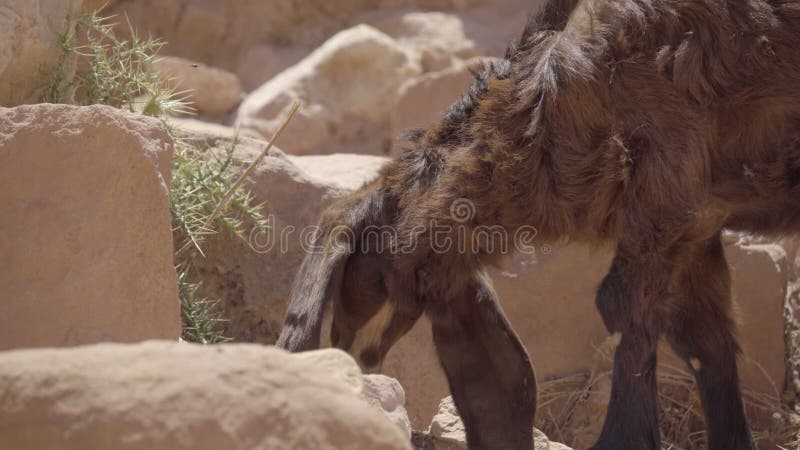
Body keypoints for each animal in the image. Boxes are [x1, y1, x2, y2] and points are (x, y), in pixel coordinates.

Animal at [278, 0, 800, 450]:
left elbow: (623, 306)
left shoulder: (667, 181)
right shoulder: (697, 218)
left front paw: (622, 440)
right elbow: (706, 338)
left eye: (353, 282)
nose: (348, 355)